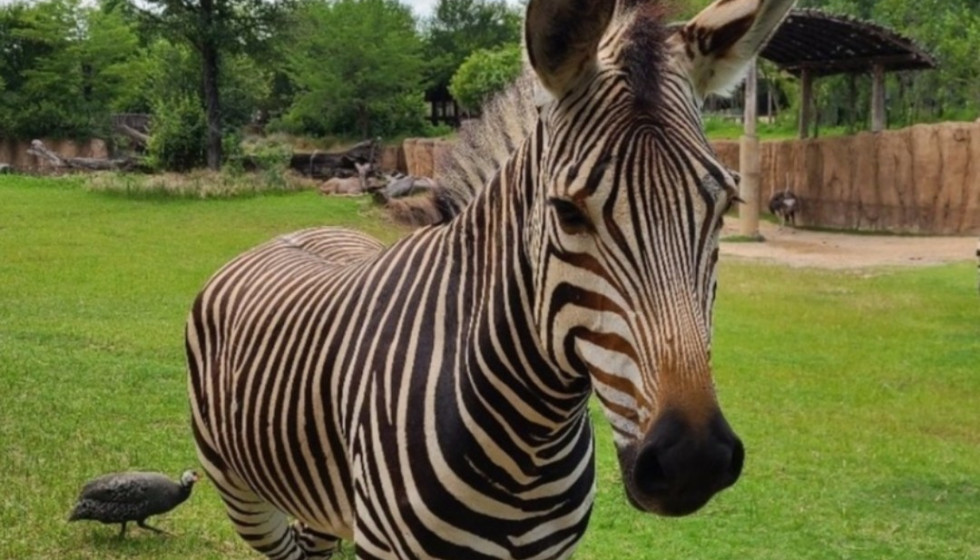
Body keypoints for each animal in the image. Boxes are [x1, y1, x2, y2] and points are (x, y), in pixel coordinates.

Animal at [186, 0, 797, 558]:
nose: (693, 462)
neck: (532, 440)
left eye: (724, 207)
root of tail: (293, 233)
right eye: (566, 212)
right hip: (244, 497)